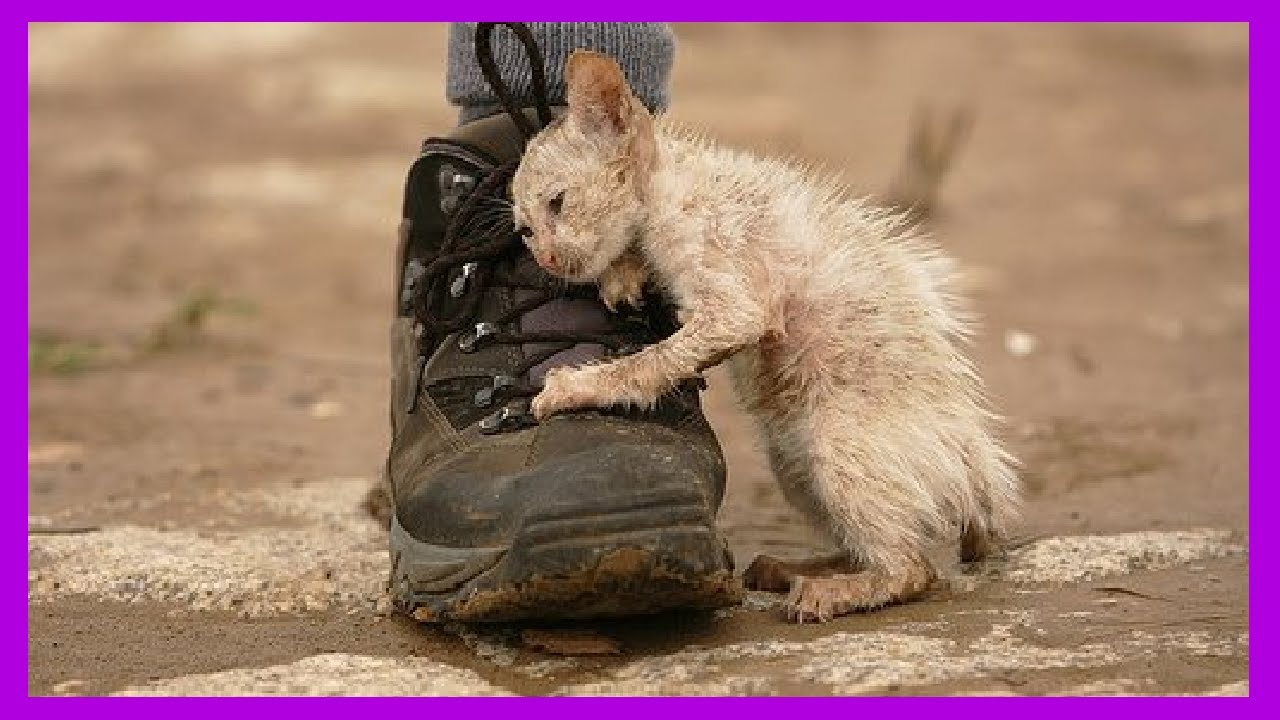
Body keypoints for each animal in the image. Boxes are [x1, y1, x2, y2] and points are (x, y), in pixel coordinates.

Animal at [509, 51, 1018, 622]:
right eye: (524, 230)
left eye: (557, 203)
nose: (547, 258)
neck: (670, 184)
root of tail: (979, 475)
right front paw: (623, 274)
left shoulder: (733, 299)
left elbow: (652, 361)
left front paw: (574, 387)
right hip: (793, 464)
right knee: (874, 545)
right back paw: (792, 570)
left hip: (836, 445)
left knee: (911, 568)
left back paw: (831, 590)